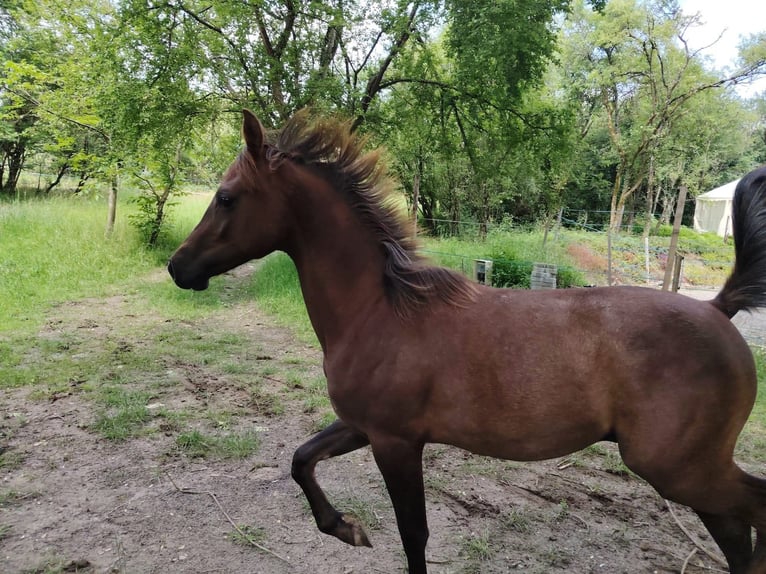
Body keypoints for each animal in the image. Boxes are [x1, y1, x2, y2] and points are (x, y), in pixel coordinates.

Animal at [168, 109, 766, 574]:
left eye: (227, 198)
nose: (178, 267)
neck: (380, 311)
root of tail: (718, 308)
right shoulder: (364, 426)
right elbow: (301, 459)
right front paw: (347, 528)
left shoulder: (395, 442)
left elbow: (415, 536)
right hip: (688, 471)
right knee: (741, 538)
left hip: (679, 468)